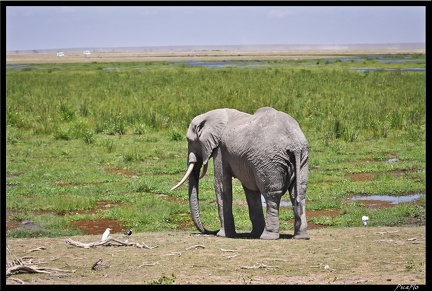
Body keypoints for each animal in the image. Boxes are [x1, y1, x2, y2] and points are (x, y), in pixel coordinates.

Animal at [170, 107, 308, 242]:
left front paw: (223, 234)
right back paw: (301, 236)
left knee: (272, 195)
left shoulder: (220, 150)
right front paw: (254, 234)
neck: (213, 115)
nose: (210, 231)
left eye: (190, 141)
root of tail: (294, 145)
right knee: (299, 192)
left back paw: (268, 236)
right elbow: (250, 190)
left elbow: (221, 185)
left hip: (270, 161)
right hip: (302, 157)